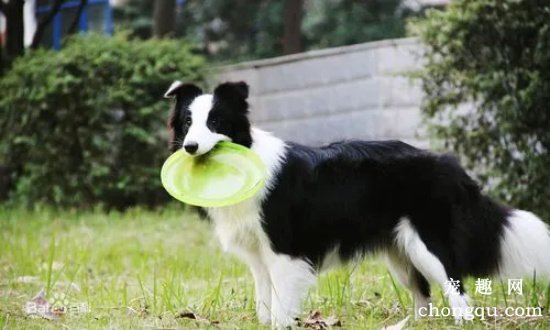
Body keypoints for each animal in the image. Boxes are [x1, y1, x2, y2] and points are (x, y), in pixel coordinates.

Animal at [164, 80, 550, 328]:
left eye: (215, 122)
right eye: (187, 123)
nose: (190, 147)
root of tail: (447, 164)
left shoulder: (285, 252)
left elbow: (281, 307)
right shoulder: (258, 256)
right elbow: (264, 302)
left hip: (426, 242)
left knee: (456, 289)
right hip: (400, 251)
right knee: (423, 294)